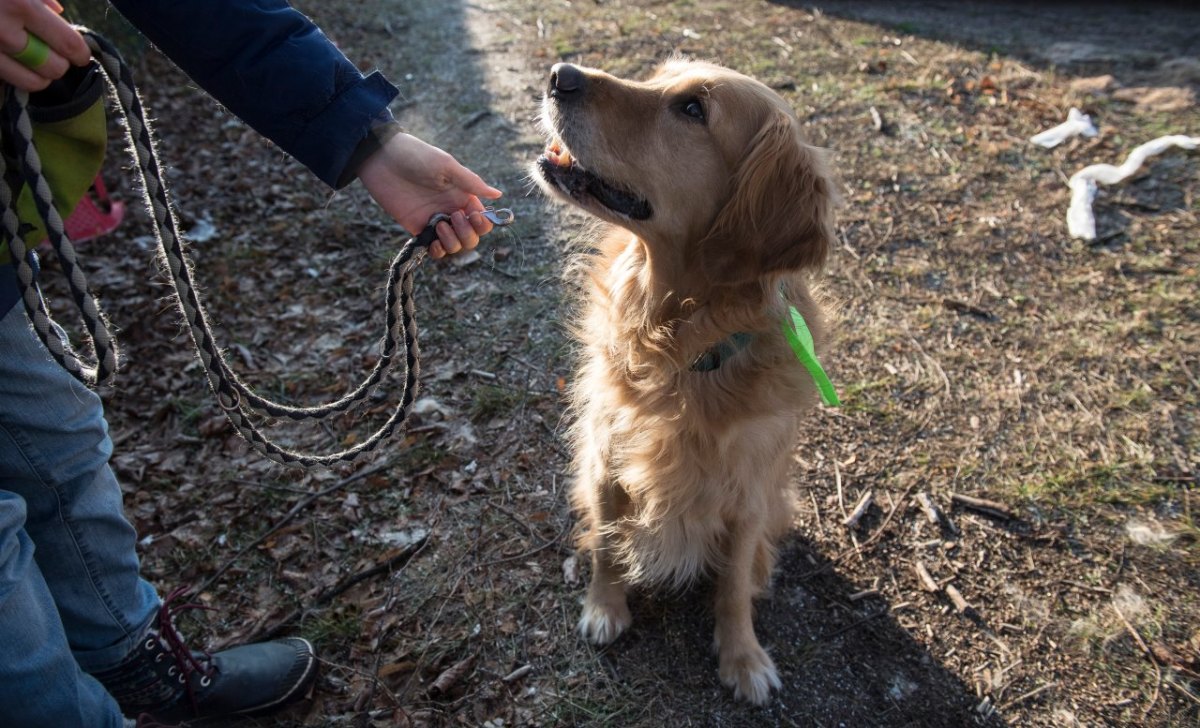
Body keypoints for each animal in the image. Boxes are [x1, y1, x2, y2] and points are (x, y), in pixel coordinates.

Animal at [535, 58, 835, 705]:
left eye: (693, 109)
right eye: (657, 77)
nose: (560, 73)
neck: (682, 350)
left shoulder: (748, 492)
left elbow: (732, 585)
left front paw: (742, 655)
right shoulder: (607, 458)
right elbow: (607, 543)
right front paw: (604, 607)